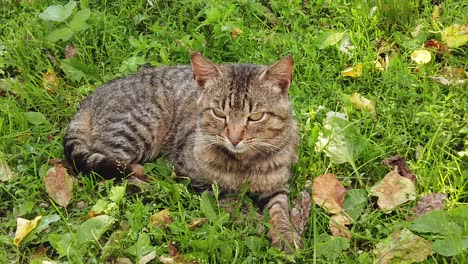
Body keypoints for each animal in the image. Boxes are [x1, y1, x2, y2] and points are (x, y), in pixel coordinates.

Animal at [63, 52, 300, 251]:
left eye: (256, 116)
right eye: (218, 113)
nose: (234, 138)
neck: (244, 164)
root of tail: (93, 96)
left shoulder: (277, 186)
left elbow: (280, 211)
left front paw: (286, 237)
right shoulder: (196, 179)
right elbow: (236, 204)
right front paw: (257, 223)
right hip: (139, 128)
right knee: (113, 177)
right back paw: (153, 185)